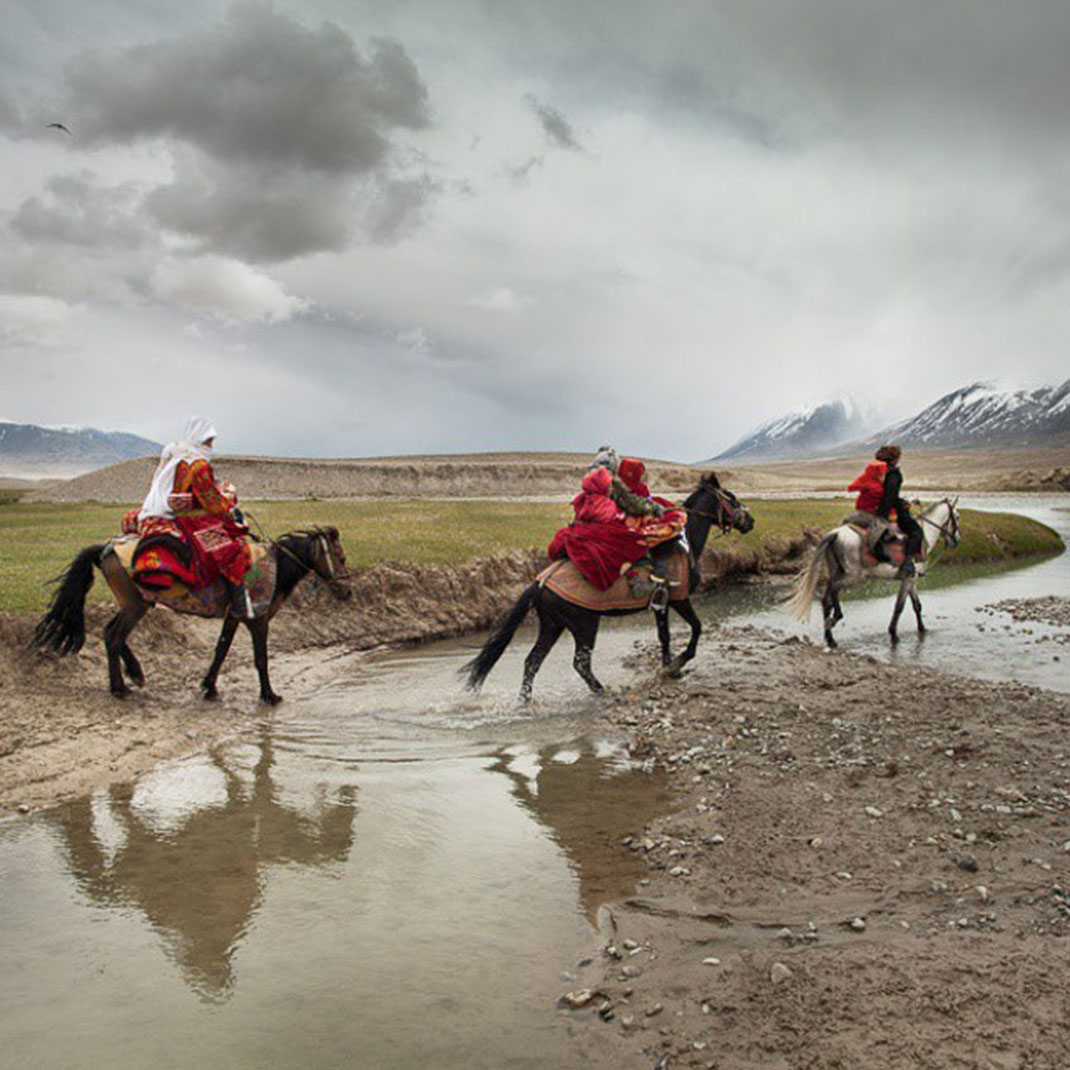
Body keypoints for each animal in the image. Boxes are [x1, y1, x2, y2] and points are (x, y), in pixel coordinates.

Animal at [30, 526, 350, 701]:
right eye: (341, 557)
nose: (347, 591)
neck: (276, 568)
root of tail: (105, 549)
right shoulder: (257, 620)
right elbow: (261, 658)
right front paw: (269, 695)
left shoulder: (234, 617)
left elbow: (221, 650)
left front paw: (209, 686)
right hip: (136, 605)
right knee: (114, 636)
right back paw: (120, 687)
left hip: (133, 604)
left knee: (112, 633)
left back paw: (135, 674)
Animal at [464, 472, 757, 697]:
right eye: (731, 498)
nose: (751, 521)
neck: (685, 547)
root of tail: (541, 582)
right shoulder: (680, 599)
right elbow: (696, 628)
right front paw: (677, 664)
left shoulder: (661, 605)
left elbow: (664, 636)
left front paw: (667, 669)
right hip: (584, 624)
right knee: (580, 664)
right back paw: (601, 691)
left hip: (552, 625)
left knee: (532, 662)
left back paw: (525, 701)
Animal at [787, 496, 963, 646]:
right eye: (957, 516)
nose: (956, 540)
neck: (923, 537)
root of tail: (835, 533)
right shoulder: (908, 579)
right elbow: (899, 607)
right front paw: (893, 634)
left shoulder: (911, 579)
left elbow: (917, 605)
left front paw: (922, 630)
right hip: (854, 576)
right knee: (834, 591)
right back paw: (836, 618)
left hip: (836, 571)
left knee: (826, 599)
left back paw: (830, 637)